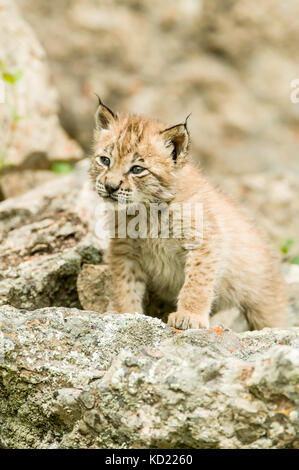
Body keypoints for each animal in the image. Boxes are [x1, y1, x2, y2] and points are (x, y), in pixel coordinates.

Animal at [89, 100, 288, 330]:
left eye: (137, 169)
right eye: (105, 160)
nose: (110, 187)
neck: (148, 209)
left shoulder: (204, 242)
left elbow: (196, 282)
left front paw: (189, 315)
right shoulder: (124, 250)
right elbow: (124, 286)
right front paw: (125, 314)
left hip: (266, 307)